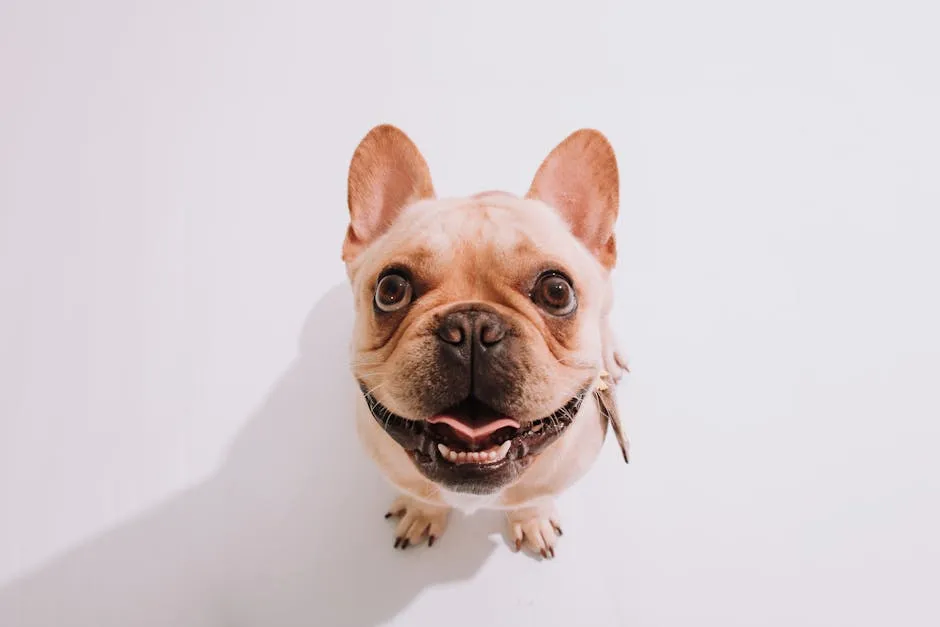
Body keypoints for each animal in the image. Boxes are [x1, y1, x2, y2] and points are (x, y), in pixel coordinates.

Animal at [342, 125, 628, 556]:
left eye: (557, 292)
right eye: (390, 290)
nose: (472, 327)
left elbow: (531, 500)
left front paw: (532, 519)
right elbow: (423, 496)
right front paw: (423, 513)